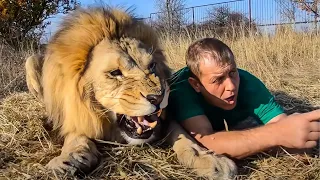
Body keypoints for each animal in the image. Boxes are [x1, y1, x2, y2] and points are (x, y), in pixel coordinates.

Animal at [25, 6, 236, 179]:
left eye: (152, 66)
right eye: (115, 73)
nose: (158, 98)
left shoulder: (166, 118)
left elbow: (184, 137)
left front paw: (212, 161)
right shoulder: (76, 115)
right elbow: (76, 137)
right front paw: (66, 161)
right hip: (31, 60)